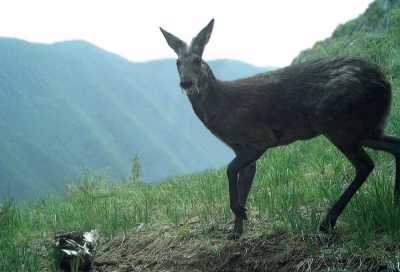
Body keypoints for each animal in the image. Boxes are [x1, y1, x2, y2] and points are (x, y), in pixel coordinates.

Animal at [161, 19, 398, 239]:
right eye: (177, 62)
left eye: (197, 60)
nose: (186, 83)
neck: (223, 108)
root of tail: (384, 81)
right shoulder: (242, 149)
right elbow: (243, 182)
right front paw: (237, 231)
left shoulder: (259, 139)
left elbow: (229, 169)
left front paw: (239, 212)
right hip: (365, 127)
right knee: (395, 146)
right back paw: (394, 204)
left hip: (338, 122)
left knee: (365, 164)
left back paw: (326, 223)